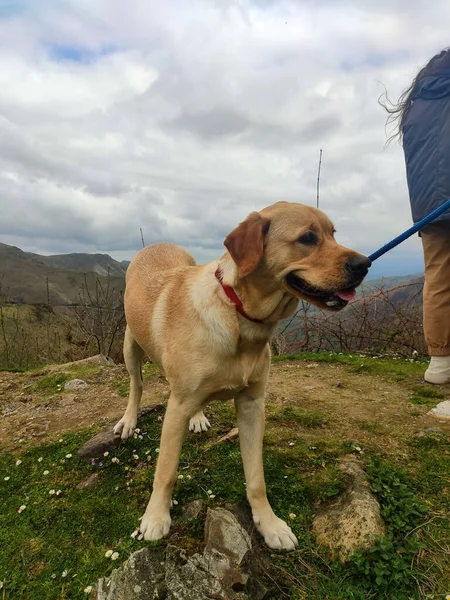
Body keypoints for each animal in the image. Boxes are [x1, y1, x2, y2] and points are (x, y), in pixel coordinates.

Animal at [114, 200, 370, 548]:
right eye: (307, 238)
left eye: (333, 234)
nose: (365, 264)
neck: (240, 317)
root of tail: (155, 244)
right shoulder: (177, 406)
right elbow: (166, 470)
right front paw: (155, 517)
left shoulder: (252, 405)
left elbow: (256, 478)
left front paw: (269, 524)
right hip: (131, 347)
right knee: (136, 384)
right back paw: (129, 419)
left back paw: (198, 417)